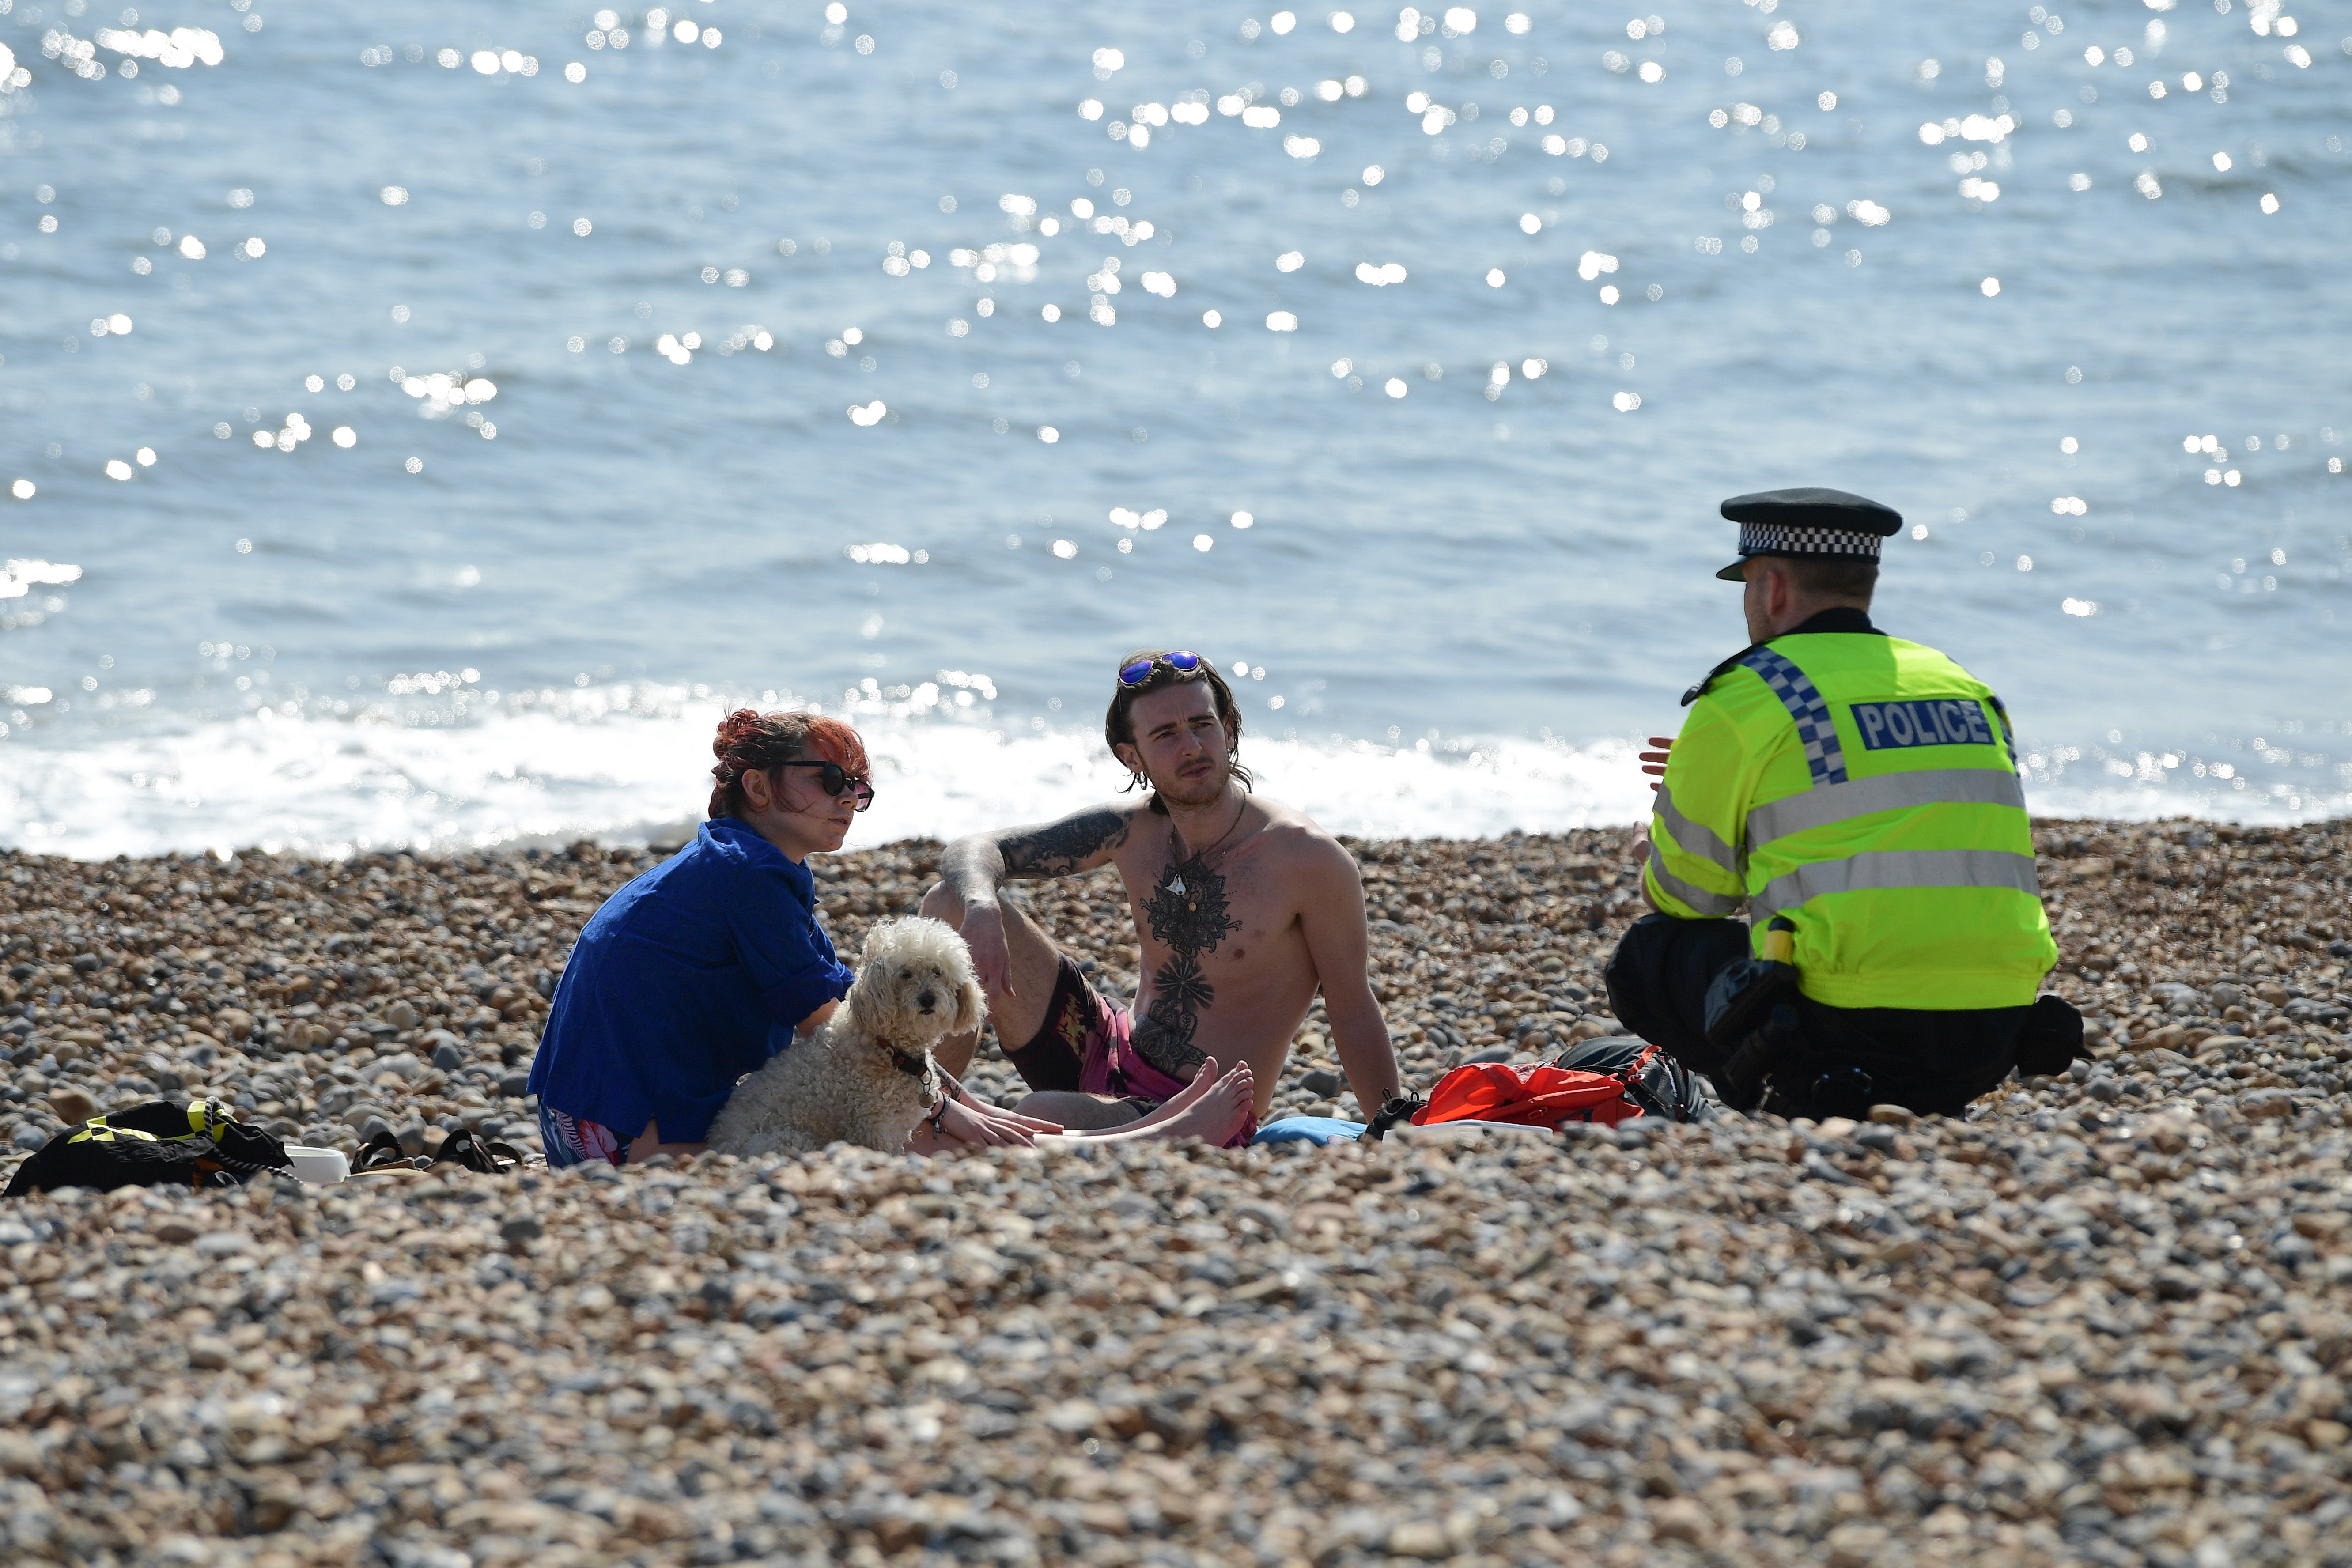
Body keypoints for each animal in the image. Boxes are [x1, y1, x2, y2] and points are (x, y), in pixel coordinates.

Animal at [705, 912, 983, 1161]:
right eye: (906, 974)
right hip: (791, 1140)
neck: (889, 1050)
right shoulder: (873, 1130)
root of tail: (717, 1145)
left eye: (938, 972)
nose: (927, 999)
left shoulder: (896, 1132)